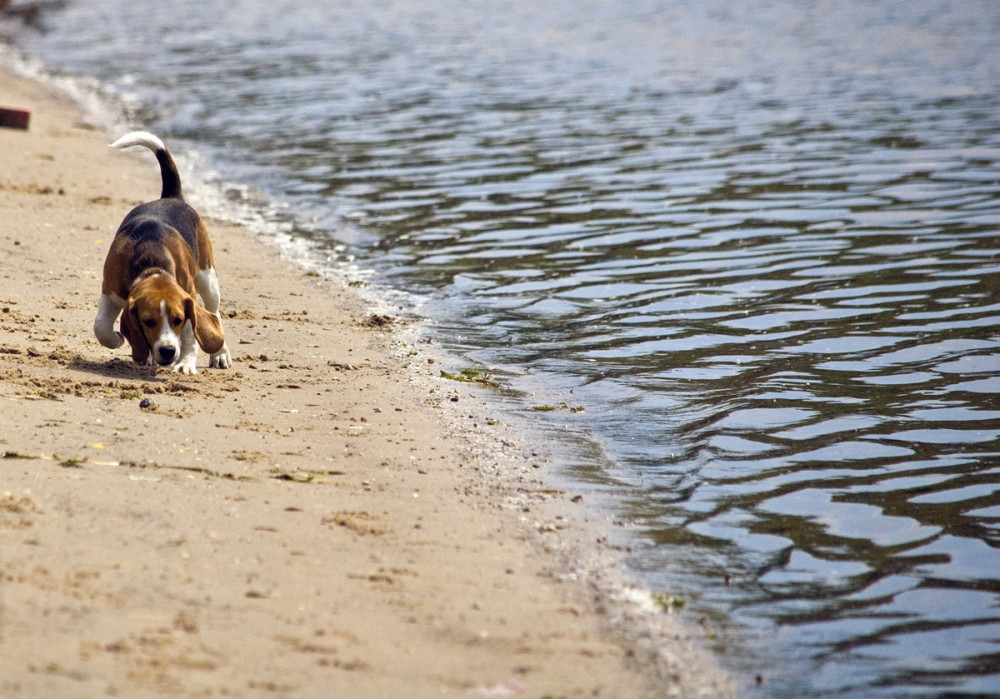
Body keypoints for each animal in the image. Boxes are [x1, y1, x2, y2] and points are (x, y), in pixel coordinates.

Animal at [93, 130, 231, 372]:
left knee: (215, 313)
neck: (152, 266)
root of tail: (171, 197)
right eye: (148, 322)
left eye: (177, 320)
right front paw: (118, 339)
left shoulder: (189, 299)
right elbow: (101, 326)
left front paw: (185, 363)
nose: (168, 351)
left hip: (208, 279)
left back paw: (220, 354)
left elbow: (191, 334)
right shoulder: (110, 291)